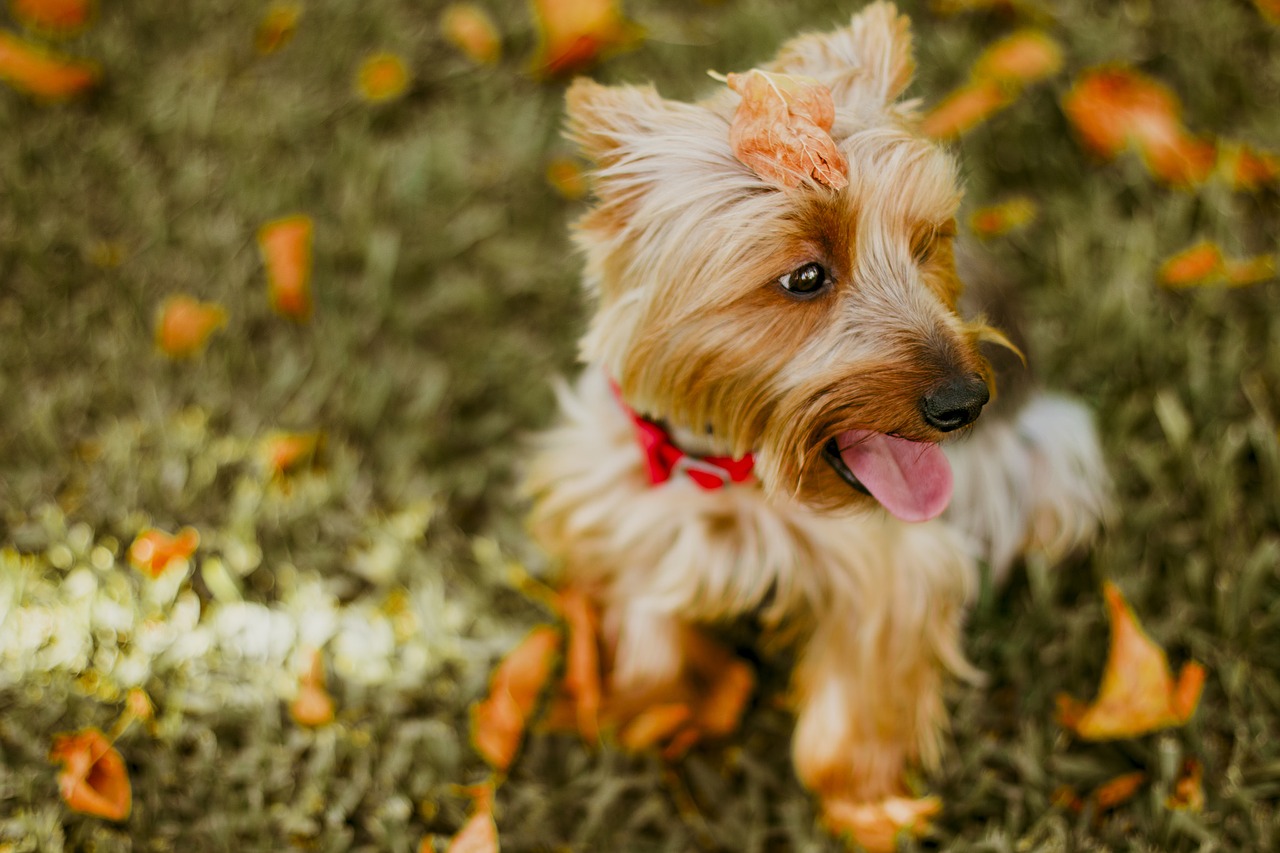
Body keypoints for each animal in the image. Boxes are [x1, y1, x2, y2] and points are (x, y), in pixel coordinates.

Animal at [524, 3, 1105, 840]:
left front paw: (867, 804)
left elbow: (860, 696)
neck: (733, 467)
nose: (966, 401)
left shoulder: (889, 569)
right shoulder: (626, 492)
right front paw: (655, 709)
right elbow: (649, 619)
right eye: (804, 276)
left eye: (926, 244)